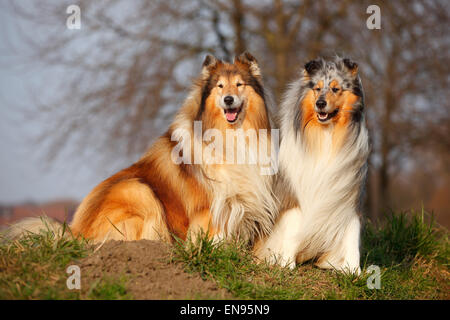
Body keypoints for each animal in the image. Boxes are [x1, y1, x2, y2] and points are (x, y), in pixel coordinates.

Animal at [255, 57, 370, 272]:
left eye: (335, 89)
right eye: (317, 88)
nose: (320, 103)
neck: (326, 135)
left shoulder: (348, 196)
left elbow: (351, 233)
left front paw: (354, 270)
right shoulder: (296, 195)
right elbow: (293, 229)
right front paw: (287, 264)